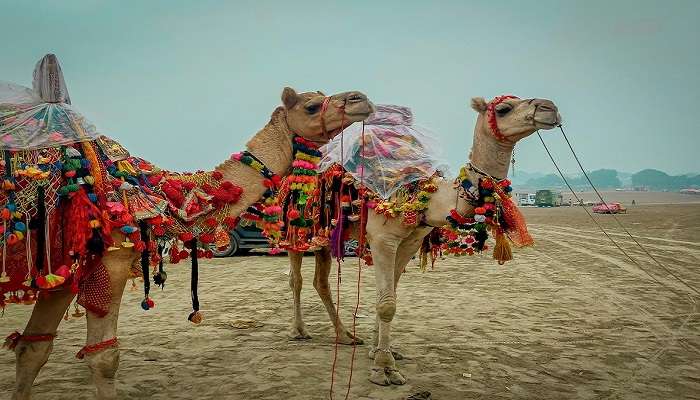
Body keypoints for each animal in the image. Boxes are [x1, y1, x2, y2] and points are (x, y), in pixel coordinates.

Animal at [2, 54, 374, 400]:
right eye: (311, 106)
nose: (361, 98)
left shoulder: (62, 271)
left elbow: (33, 348)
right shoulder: (111, 258)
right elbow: (104, 358)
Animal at [282, 94, 560, 384]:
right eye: (504, 108)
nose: (549, 108)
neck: (427, 197)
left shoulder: (410, 242)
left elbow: (389, 296)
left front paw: (380, 351)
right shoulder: (382, 239)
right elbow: (386, 304)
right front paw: (384, 368)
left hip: (325, 236)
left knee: (320, 282)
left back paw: (347, 336)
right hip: (296, 228)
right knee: (296, 279)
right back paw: (299, 331)